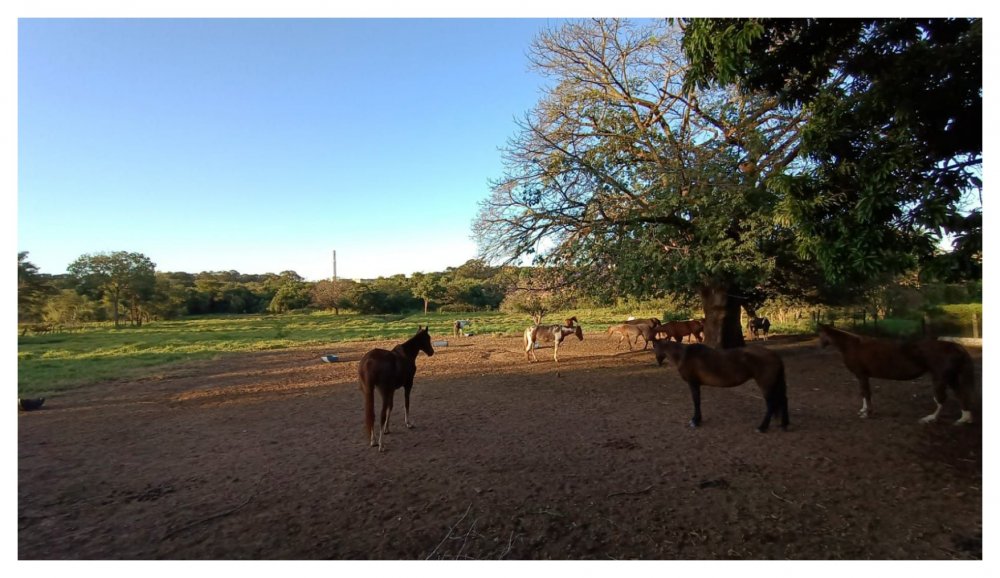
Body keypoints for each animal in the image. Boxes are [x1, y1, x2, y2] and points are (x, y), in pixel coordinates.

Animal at [652, 340, 792, 430]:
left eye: (654, 347)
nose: (658, 362)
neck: (684, 355)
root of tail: (775, 356)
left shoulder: (693, 383)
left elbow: (696, 402)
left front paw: (695, 421)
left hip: (766, 385)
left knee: (771, 404)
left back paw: (762, 427)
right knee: (783, 400)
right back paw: (784, 424)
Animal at [816, 324, 972, 424]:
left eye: (821, 334)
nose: (820, 346)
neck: (853, 346)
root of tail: (955, 346)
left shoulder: (862, 376)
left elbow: (866, 393)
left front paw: (866, 413)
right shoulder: (863, 377)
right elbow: (864, 393)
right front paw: (864, 410)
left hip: (940, 379)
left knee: (941, 399)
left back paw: (930, 418)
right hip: (950, 378)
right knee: (961, 394)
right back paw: (964, 419)